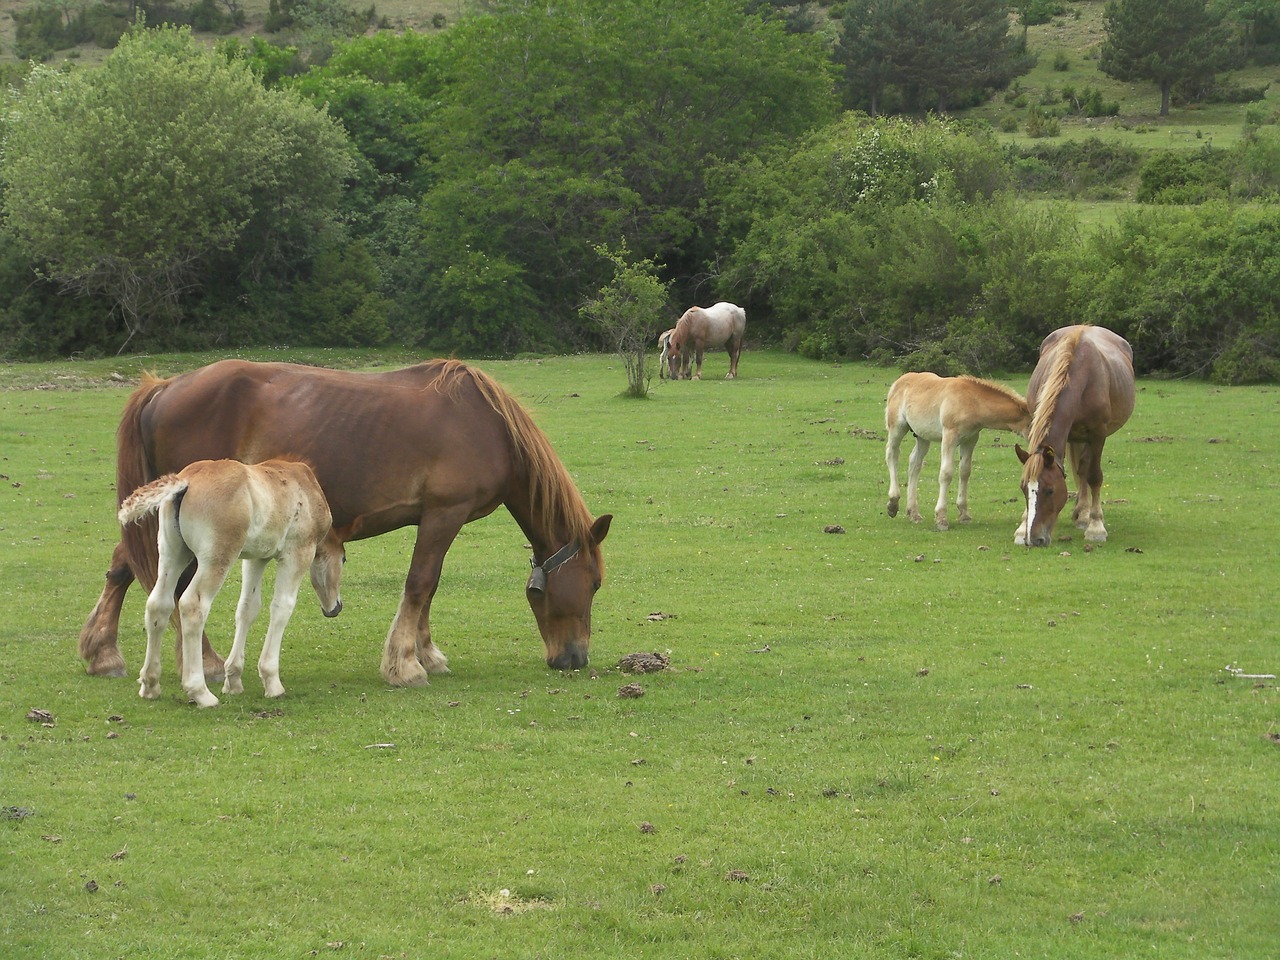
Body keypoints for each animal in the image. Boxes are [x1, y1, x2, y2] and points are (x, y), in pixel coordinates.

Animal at [115, 458, 343, 706]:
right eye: (344, 560)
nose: (336, 607)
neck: (303, 487)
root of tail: (186, 481)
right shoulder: (297, 553)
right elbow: (282, 607)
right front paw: (272, 682)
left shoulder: (256, 558)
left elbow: (247, 608)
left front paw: (233, 679)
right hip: (216, 559)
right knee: (193, 606)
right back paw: (200, 692)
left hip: (172, 554)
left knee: (159, 605)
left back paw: (150, 685)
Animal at [890, 371, 1029, 535]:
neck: (972, 401)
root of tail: (899, 381)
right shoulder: (949, 436)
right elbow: (946, 473)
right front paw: (941, 519)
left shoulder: (970, 439)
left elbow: (965, 472)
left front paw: (964, 514)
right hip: (897, 428)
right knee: (892, 454)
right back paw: (892, 503)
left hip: (923, 436)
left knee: (914, 464)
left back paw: (913, 513)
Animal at [1013, 325, 1136, 545]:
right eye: (1023, 488)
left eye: (1050, 490)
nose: (1034, 539)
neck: (1082, 374)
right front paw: (1022, 527)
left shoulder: (1097, 435)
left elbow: (1094, 476)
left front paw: (1096, 527)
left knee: (1085, 470)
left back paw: (1086, 516)